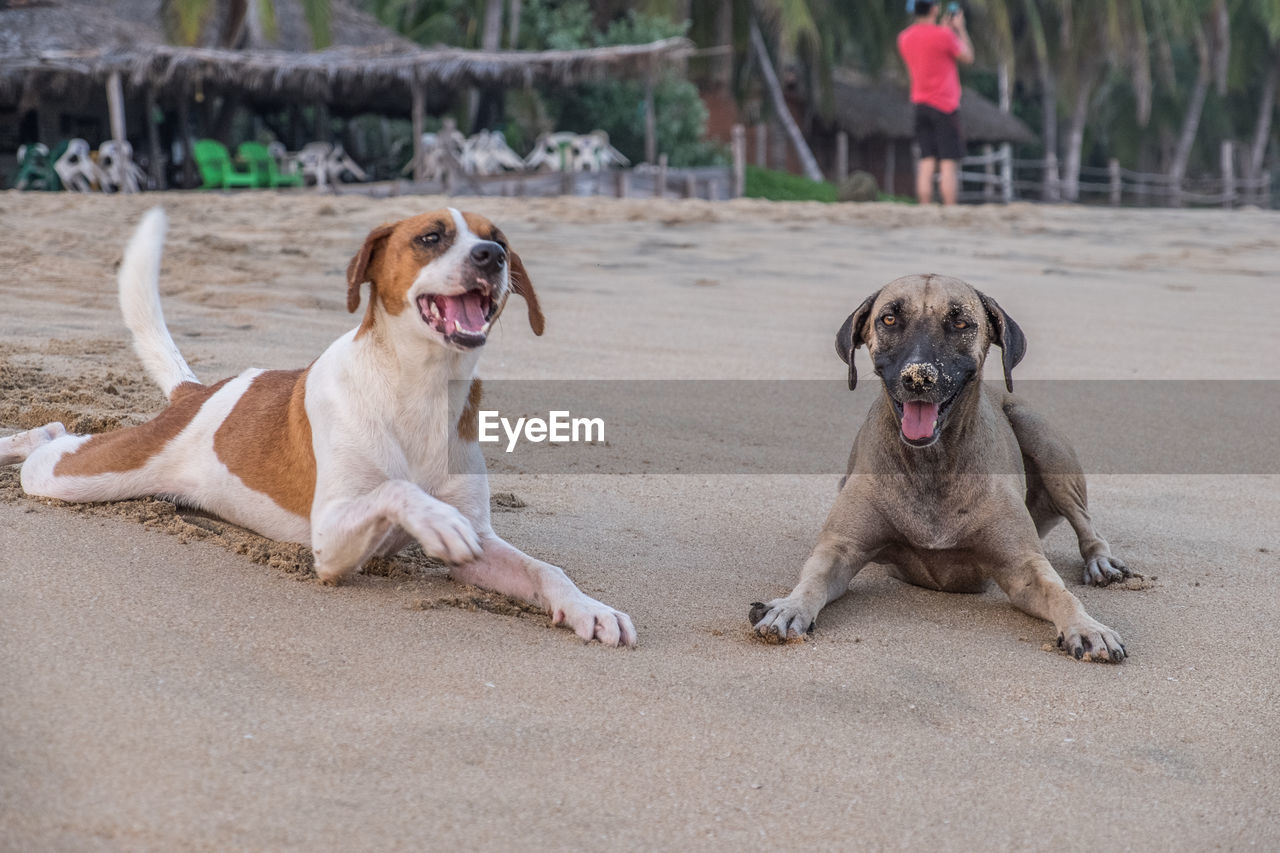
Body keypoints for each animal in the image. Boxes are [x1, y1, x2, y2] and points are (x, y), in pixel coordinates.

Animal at [0, 206, 640, 645]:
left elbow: (545, 569)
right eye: (431, 237)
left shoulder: (481, 547)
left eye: (500, 240)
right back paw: (19, 441)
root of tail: (196, 393)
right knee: (52, 440)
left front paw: (588, 607)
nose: (492, 257)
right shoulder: (329, 539)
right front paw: (432, 516)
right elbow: (396, 489)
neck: (418, 389)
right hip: (81, 475)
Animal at [747, 275, 1131, 660]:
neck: (932, 462)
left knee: (1086, 525)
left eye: (960, 323)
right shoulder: (841, 548)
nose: (919, 377)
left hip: (1042, 438)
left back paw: (1101, 563)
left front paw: (1088, 627)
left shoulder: (1023, 566)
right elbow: (814, 579)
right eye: (889, 319)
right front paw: (789, 608)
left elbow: (1060, 592)